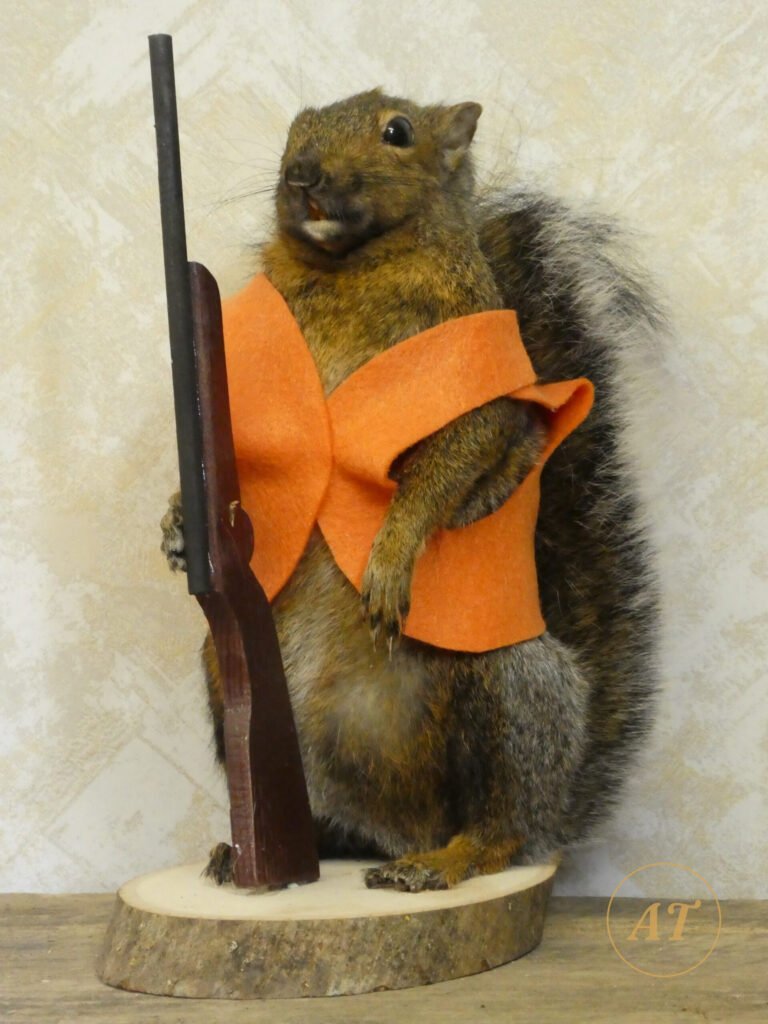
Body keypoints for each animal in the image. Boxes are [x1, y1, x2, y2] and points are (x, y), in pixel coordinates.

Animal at [161, 89, 661, 892]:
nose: (302, 174)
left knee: (498, 827)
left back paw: (440, 864)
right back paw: (259, 852)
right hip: (219, 672)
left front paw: (392, 559)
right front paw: (181, 524)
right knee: (343, 825)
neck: (348, 268)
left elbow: (455, 464)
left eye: (397, 131)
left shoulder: (479, 389)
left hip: (503, 689)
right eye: (295, 129)